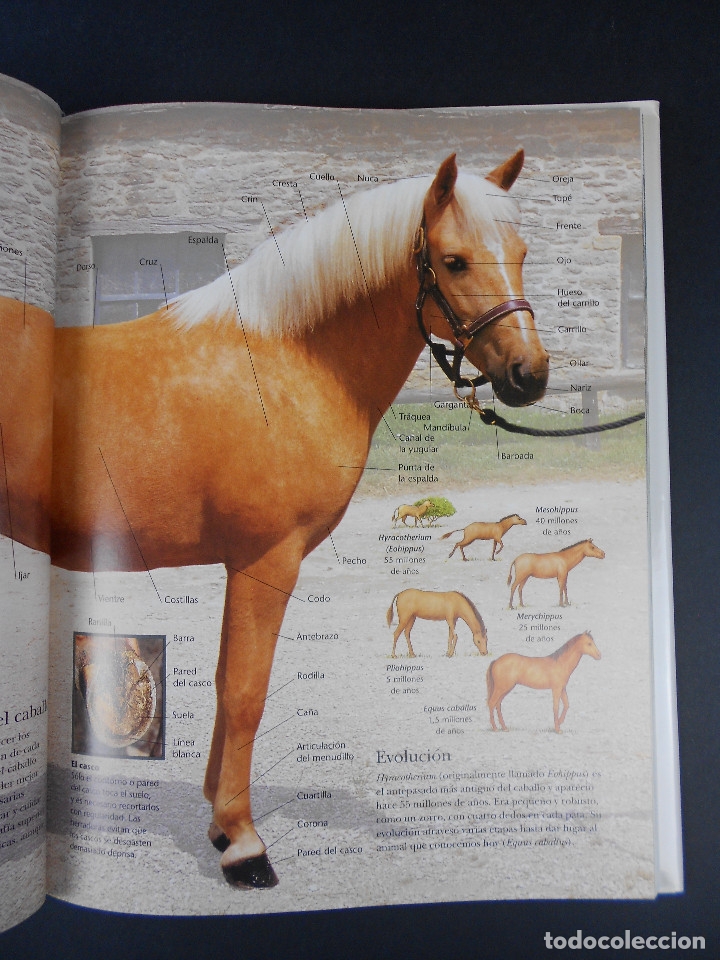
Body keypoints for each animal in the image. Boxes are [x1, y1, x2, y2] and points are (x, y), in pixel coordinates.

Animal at [0, 150, 549, 888]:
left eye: (520, 253)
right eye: (455, 261)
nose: (529, 374)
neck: (288, 362)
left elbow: (228, 685)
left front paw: (217, 819)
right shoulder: (266, 560)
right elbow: (245, 693)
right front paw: (242, 844)